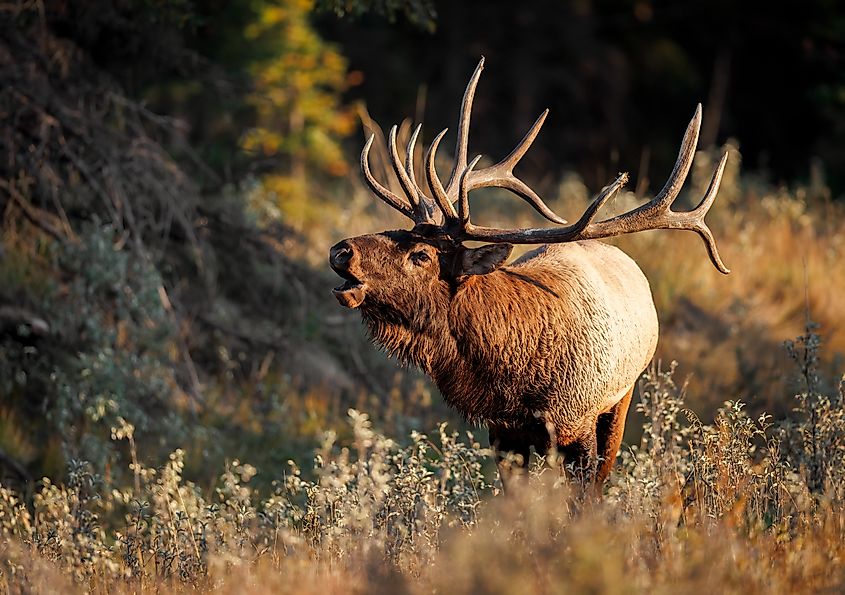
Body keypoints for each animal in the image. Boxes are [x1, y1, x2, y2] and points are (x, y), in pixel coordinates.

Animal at [329, 58, 729, 488]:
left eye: (422, 255)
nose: (342, 251)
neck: (513, 379)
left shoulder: (578, 423)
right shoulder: (503, 433)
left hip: (622, 396)